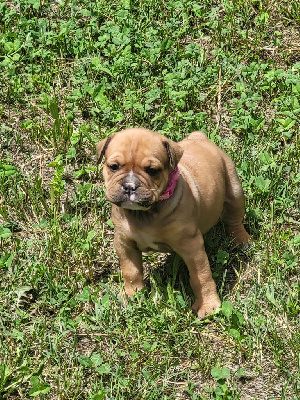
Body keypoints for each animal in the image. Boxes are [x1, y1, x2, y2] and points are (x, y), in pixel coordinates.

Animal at [97, 126, 250, 318]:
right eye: (114, 167)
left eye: (152, 170)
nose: (129, 186)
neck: (145, 214)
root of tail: (199, 137)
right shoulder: (124, 242)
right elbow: (131, 271)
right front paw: (132, 296)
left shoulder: (192, 245)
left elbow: (201, 276)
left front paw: (208, 305)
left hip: (234, 188)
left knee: (234, 217)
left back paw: (241, 239)